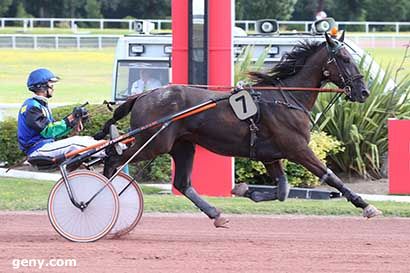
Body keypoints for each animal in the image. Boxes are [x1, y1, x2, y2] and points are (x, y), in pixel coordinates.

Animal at [98, 33, 382, 226]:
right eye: (345, 59)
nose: (364, 92)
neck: (287, 98)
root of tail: (144, 95)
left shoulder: (271, 155)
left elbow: (282, 191)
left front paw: (244, 190)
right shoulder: (297, 149)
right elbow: (331, 177)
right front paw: (366, 206)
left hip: (182, 145)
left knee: (183, 183)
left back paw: (216, 214)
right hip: (153, 144)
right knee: (112, 159)